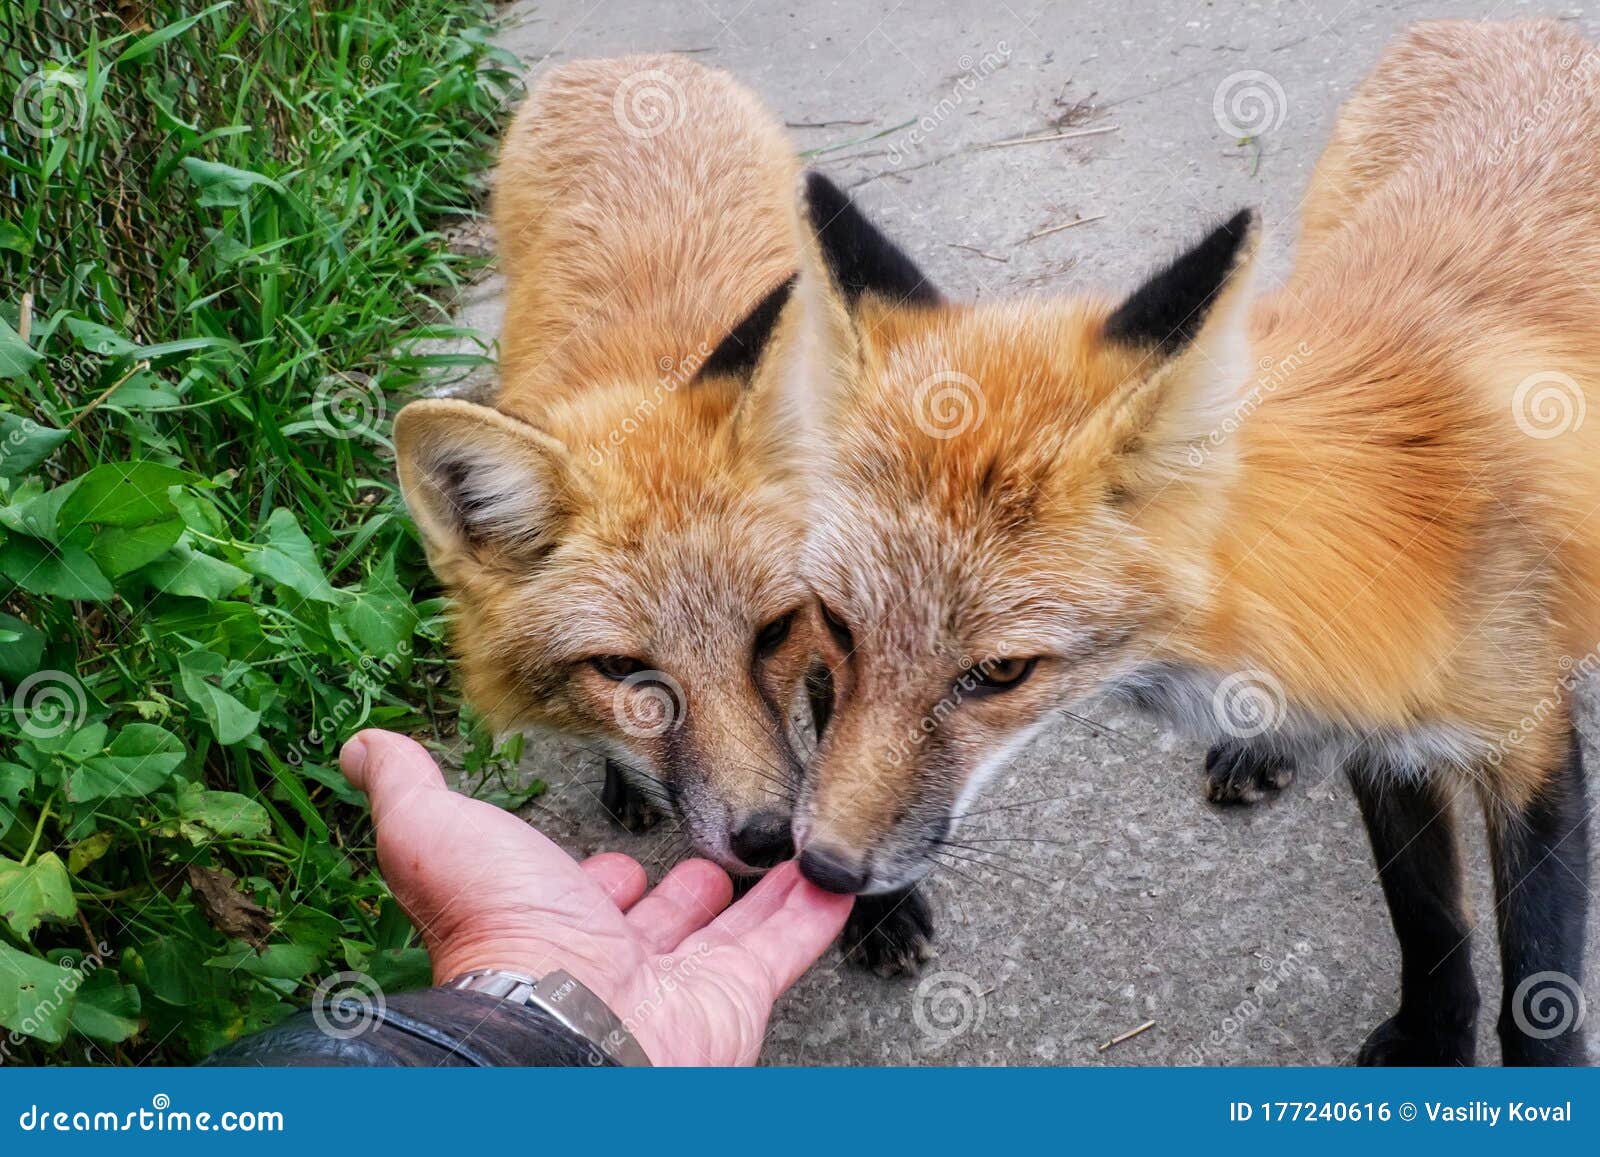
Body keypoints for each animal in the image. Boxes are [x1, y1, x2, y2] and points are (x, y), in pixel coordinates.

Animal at [754, 21, 1596, 1063]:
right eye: (836, 623)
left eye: (1000, 673)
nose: (825, 868)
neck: (1416, 506)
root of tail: (1516, 23)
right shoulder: (1381, 736)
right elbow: (1428, 916)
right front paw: (1432, 1040)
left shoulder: (1528, 742)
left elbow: (1540, 989)